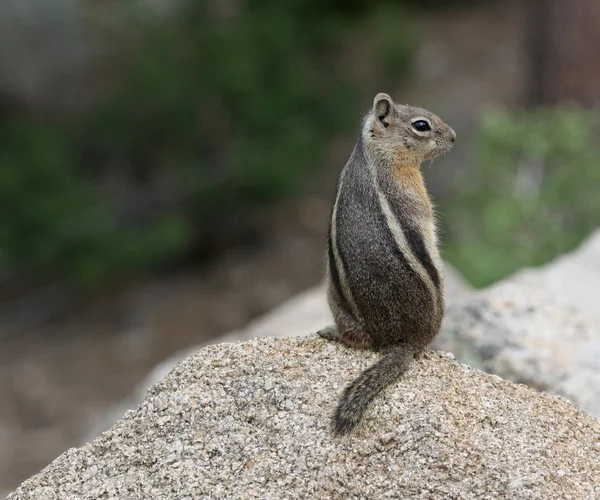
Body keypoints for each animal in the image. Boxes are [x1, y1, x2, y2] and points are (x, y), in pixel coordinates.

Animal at [318, 92, 454, 436]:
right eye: (421, 125)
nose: (453, 137)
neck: (374, 156)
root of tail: (401, 341)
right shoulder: (415, 198)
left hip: (335, 298)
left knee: (357, 340)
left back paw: (332, 332)